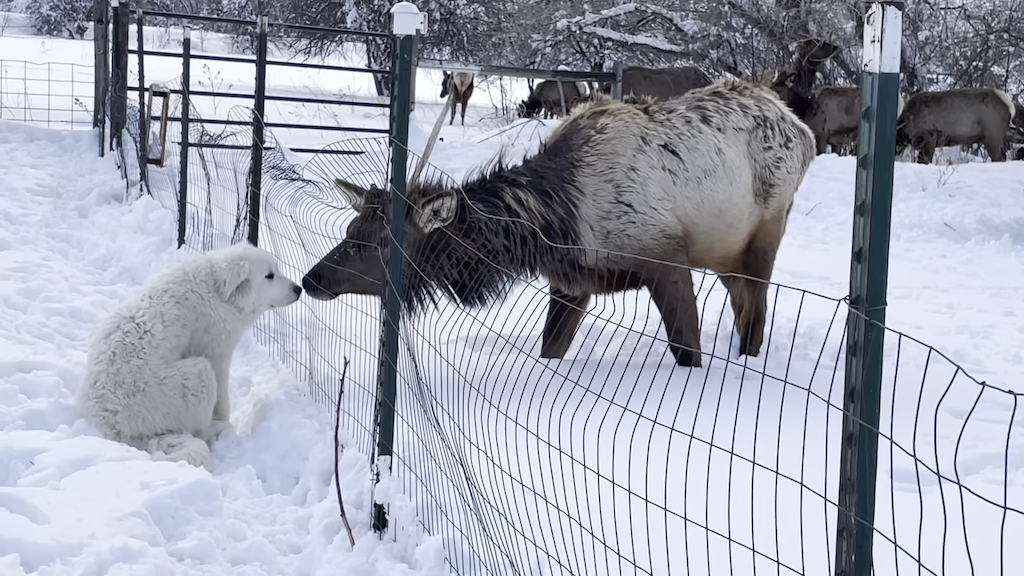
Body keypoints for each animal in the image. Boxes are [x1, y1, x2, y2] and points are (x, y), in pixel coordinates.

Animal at [77, 239, 301, 469]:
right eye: (269, 275)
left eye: (277, 270)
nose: (299, 288)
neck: (219, 294)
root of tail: (111, 426)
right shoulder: (217, 356)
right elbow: (223, 402)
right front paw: (225, 421)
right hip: (198, 373)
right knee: (198, 430)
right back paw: (221, 429)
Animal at [301, 79, 815, 366]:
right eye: (350, 232)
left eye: (378, 243)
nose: (311, 279)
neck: (552, 227)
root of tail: (805, 131)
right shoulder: (572, 282)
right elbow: (550, 348)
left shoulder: (666, 258)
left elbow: (687, 352)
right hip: (724, 253)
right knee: (743, 307)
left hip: (766, 233)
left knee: (756, 317)